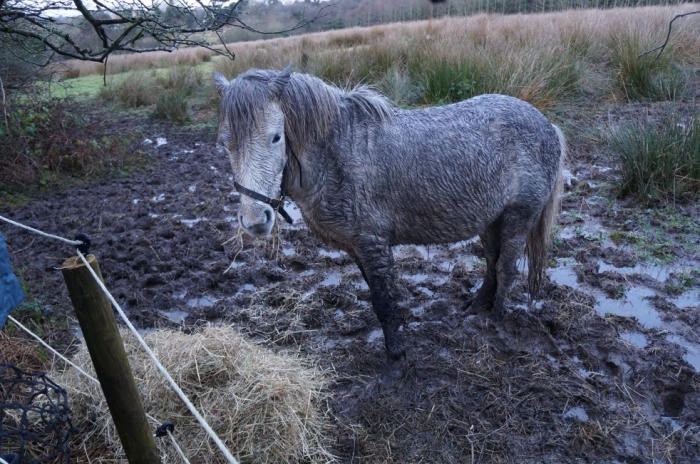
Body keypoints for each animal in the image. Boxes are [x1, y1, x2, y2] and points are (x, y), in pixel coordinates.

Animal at [213, 62, 564, 380]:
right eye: (224, 143)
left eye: (276, 138)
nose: (254, 219)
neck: (339, 154)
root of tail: (548, 126)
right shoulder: (358, 248)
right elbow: (376, 297)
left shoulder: (373, 243)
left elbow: (383, 300)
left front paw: (396, 357)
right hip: (491, 219)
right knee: (492, 261)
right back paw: (479, 304)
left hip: (519, 216)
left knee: (506, 267)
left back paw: (497, 318)